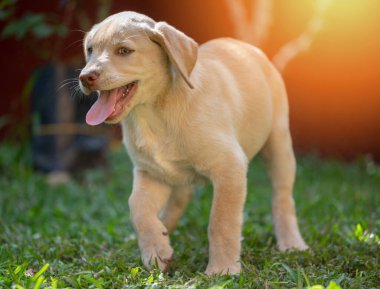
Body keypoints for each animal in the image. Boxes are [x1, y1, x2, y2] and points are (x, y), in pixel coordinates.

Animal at [78, 10, 308, 272]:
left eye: (124, 51)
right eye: (90, 50)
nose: (85, 77)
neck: (153, 114)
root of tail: (247, 46)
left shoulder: (230, 167)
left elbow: (221, 221)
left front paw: (222, 269)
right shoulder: (151, 172)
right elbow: (137, 206)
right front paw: (156, 250)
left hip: (278, 144)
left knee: (282, 197)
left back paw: (291, 243)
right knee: (179, 198)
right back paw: (162, 232)